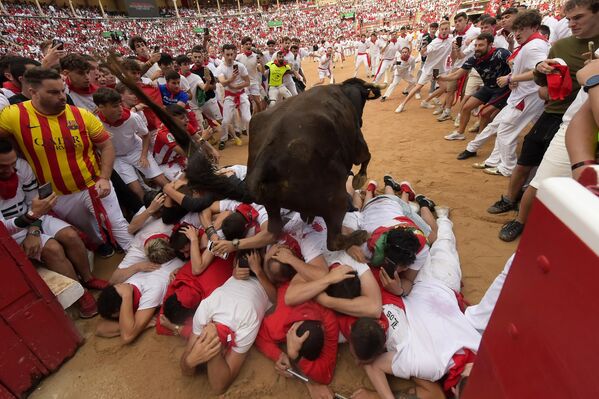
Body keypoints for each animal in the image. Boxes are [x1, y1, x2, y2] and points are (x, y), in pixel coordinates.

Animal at [189, 79, 384, 250]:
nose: (361, 120)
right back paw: (359, 235)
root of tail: (265, 159)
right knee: (334, 241)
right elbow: (366, 157)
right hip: (337, 200)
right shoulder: (358, 143)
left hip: (271, 204)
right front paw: (360, 178)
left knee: (273, 231)